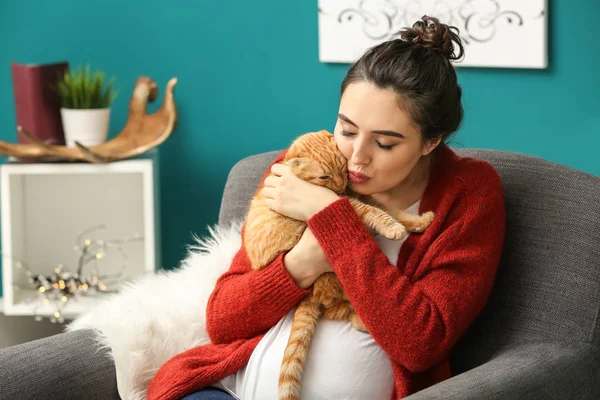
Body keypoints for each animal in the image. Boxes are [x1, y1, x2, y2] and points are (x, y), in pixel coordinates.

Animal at [244, 130, 436, 398]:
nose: (340, 184)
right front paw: (394, 228)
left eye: (343, 168)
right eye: (324, 176)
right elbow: (376, 212)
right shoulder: (346, 204)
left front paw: (418, 222)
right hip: (327, 272)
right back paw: (361, 321)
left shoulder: (359, 196)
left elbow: (392, 209)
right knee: (335, 302)